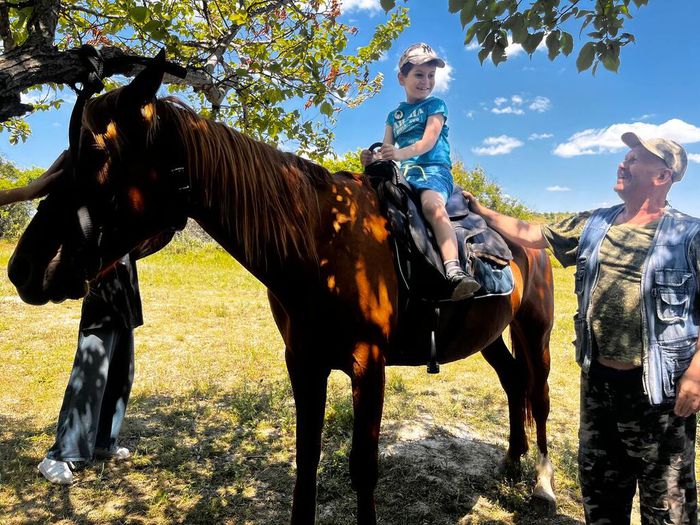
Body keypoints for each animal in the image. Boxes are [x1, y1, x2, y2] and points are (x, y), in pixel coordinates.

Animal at [8, 54, 556, 524]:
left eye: (96, 154)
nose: (22, 267)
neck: (320, 243)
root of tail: (530, 230)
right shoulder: (303, 362)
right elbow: (306, 460)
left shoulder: (368, 366)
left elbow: (363, 469)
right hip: (491, 336)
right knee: (514, 384)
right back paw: (512, 462)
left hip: (536, 331)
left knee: (539, 396)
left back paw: (543, 488)